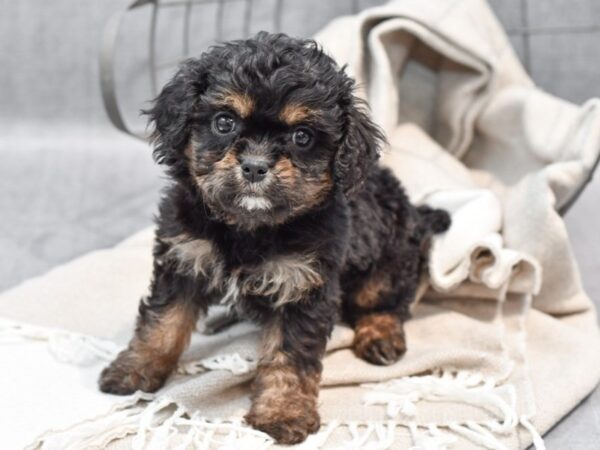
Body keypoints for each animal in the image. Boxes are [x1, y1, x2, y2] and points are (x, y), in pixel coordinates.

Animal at [99, 32, 450, 446]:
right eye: (224, 122)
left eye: (302, 136)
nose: (254, 166)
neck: (249, 226)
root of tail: (414, 212)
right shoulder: (184, 257)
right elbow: (161, 322)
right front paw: (134, 370)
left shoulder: (302, 285)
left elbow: (290, 356)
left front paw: (284, 411)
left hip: (387, 262)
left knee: (386, 302)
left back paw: (380, 336)